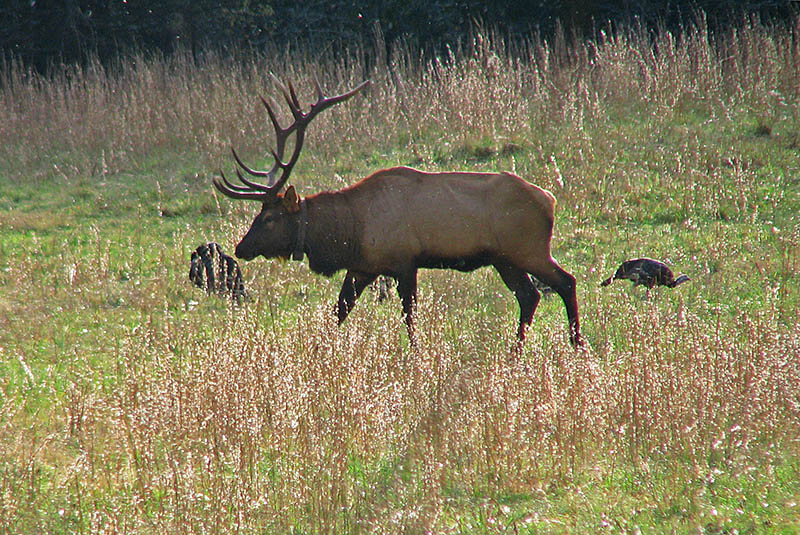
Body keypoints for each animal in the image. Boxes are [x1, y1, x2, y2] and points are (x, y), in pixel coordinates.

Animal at [214, 78, 580, 348]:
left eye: (270, 218)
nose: (241, 247)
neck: (349, 231)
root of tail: (549, 200)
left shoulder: (405, 260)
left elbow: (409, 316)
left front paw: (416, 356)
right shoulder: (363, 267)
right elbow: (339, 311)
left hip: (528, 248)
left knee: (565, 281)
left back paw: (577, 345)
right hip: (504, 258)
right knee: (529, 295)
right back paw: (517, 351)